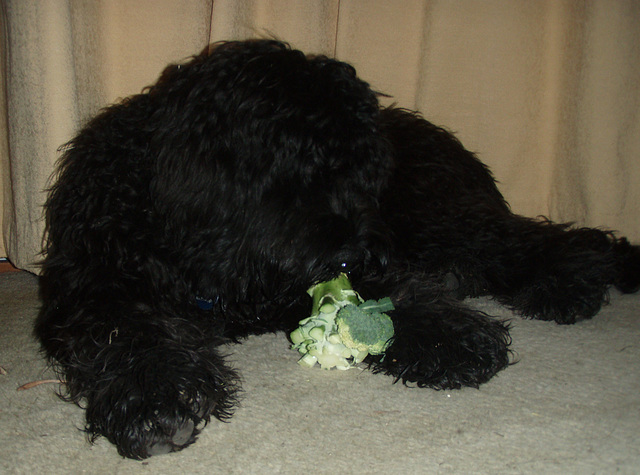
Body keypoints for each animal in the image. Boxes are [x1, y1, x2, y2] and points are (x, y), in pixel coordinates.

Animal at [36, 41, 640, 462]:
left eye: (362, 173)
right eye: (300, 170)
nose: (355, 254)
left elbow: (387, 298)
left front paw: (448, 337)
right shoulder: (94, 284)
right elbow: (126, 328)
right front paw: (155, 396)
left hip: (439, 218)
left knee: (535, 240)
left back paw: (573, 282)